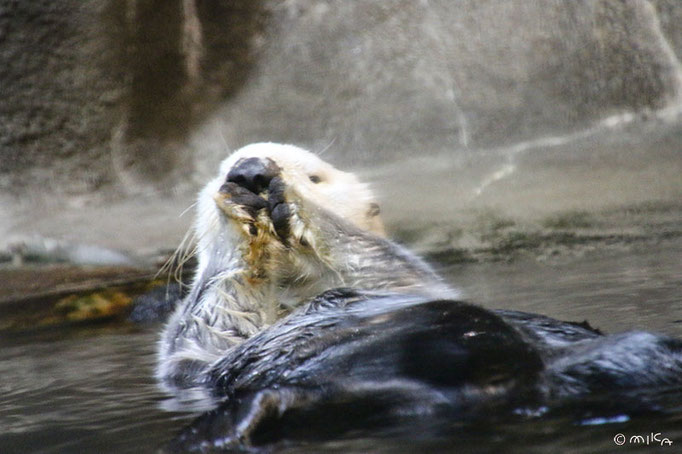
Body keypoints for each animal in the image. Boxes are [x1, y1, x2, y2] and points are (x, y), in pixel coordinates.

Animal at [158, 143, 680, 450]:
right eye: (221, 170)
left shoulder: (409, 284)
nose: (248, 173)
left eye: (315, 177)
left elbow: (384, 261)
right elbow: (205, 320)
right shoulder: (192, 356)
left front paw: (296, 208)